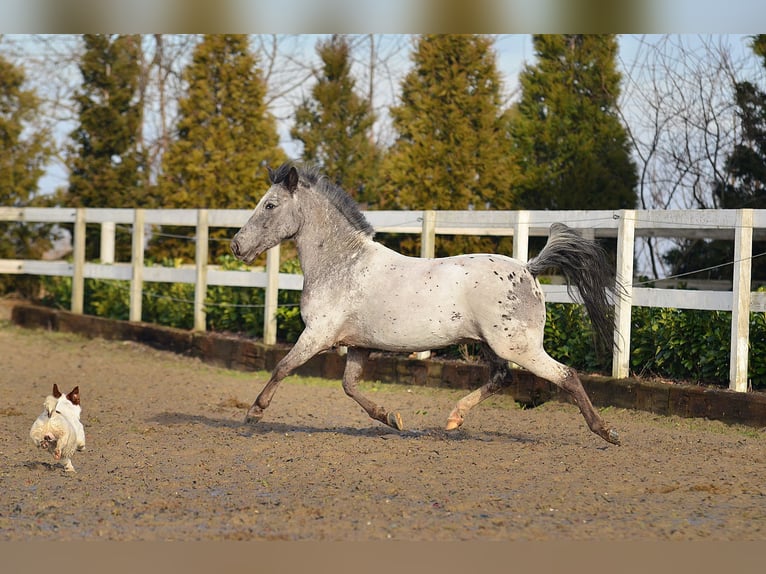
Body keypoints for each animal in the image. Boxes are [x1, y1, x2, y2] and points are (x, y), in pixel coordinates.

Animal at [231, 162, 620, 446]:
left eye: (269, 205)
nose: (236, 245)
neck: (343, 264)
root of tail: (528, 268)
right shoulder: (358, 346)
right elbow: (349, 386)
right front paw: (391, 417)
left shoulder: (317, 334)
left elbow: (283, 367)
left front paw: (254, 413)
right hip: (492, 344)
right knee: (502, 377)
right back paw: (454, 418)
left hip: (518, 345)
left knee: (566, 375)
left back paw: (607, 431)